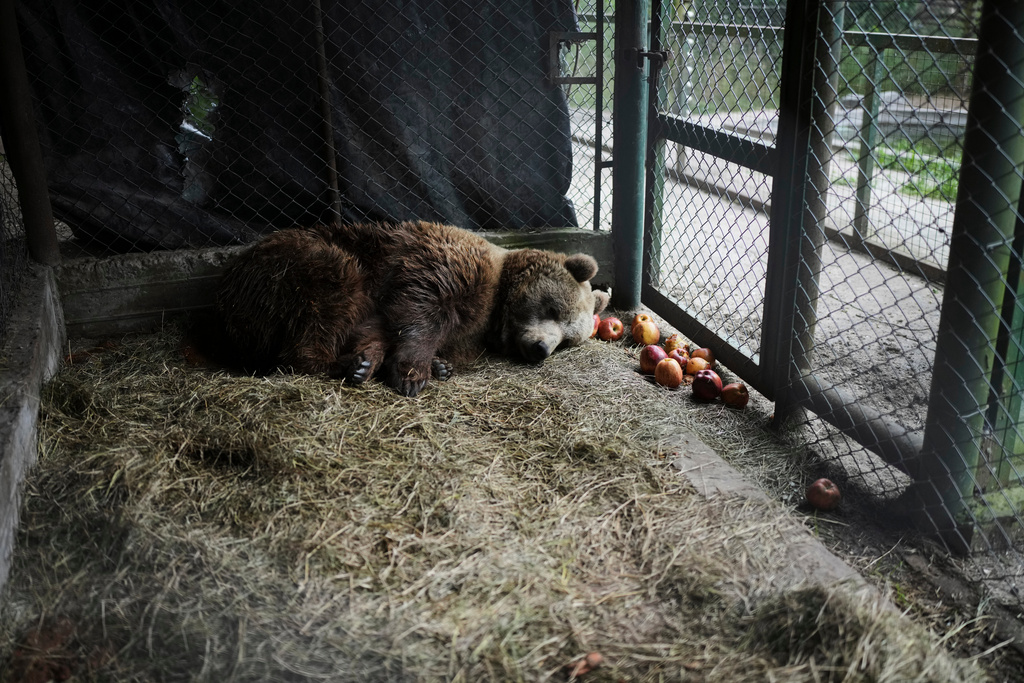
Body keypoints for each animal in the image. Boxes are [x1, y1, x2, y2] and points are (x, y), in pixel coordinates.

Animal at [214, 221, 610, 397]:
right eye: (555, 309)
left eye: (568, 341)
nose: (541, 348)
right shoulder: (446, 268)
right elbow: (420, 310)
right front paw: (411, 373)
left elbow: (379, 326)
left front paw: (433, 364)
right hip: (294, 266)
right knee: (330, 295)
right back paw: (341, 363)